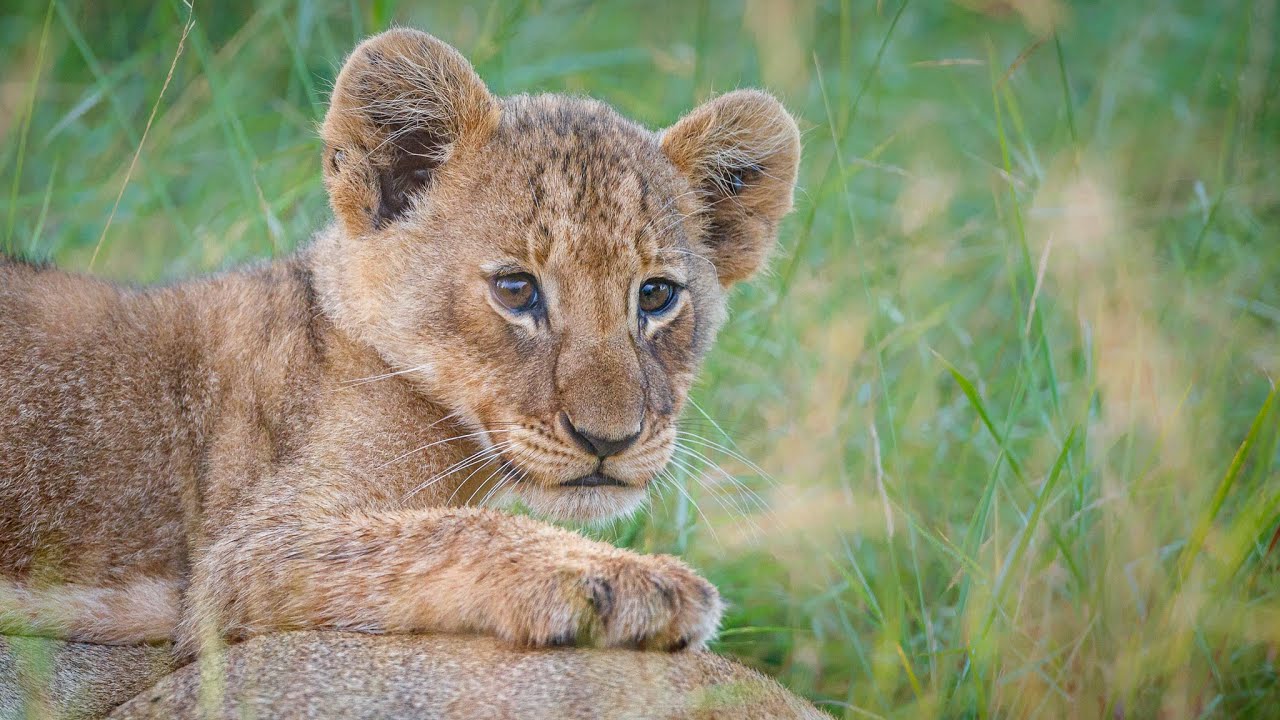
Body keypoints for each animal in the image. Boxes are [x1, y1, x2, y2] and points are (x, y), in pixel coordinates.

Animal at [0, 27, 806, 715]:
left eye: (657, 296)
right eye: (517, 289)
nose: (609, 441)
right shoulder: (245, 559)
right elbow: (449, 531)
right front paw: (630, 582)